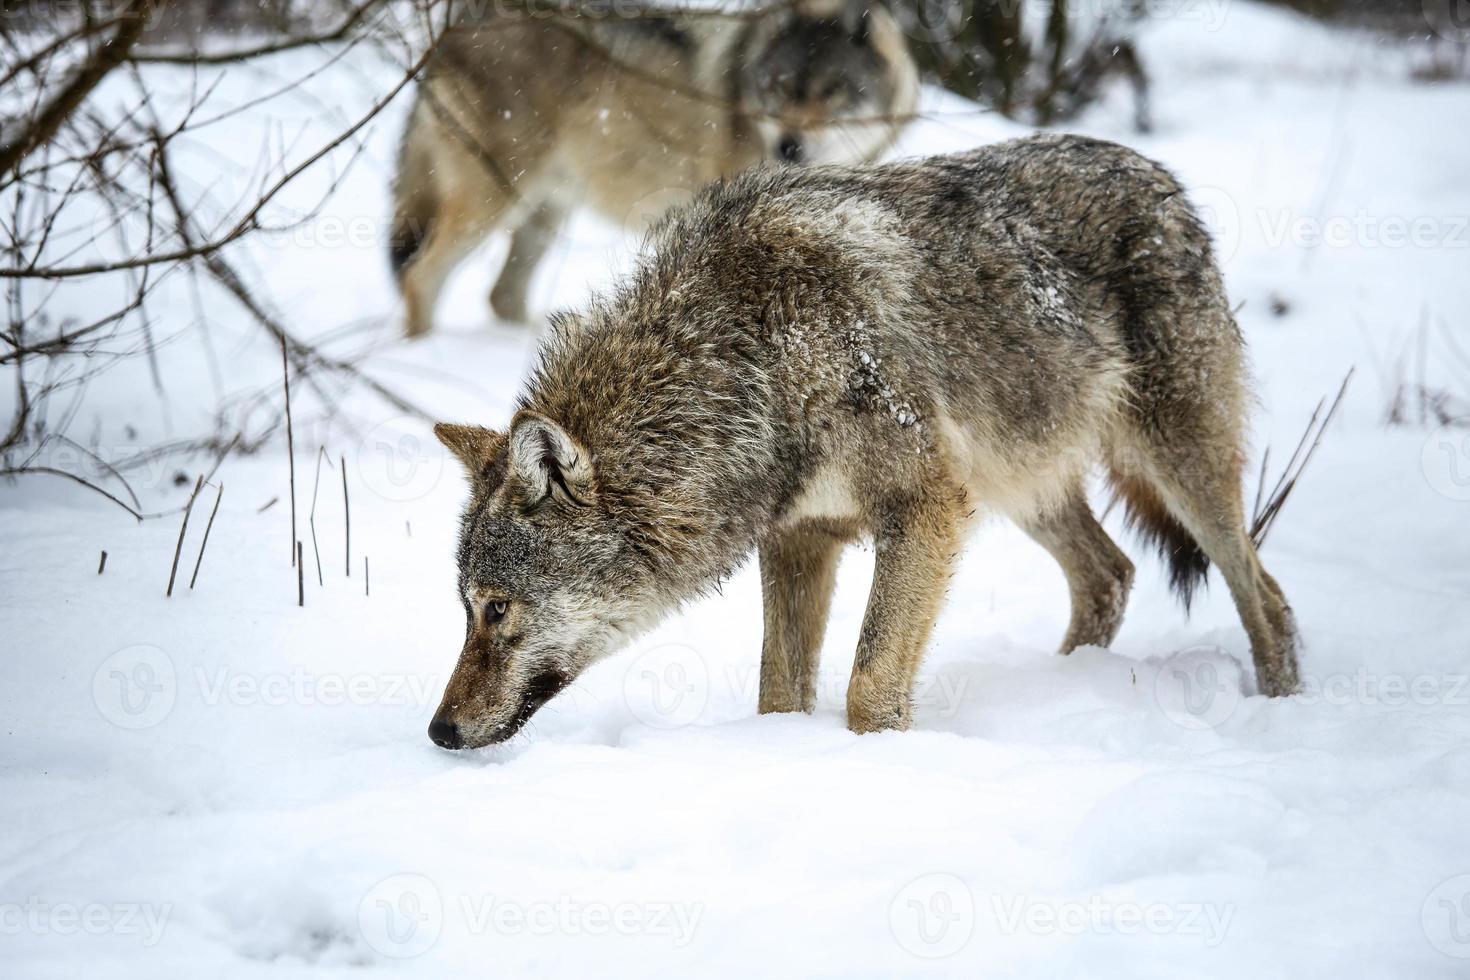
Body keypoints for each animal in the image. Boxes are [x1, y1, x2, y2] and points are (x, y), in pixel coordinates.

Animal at [391, 0, 917, 337]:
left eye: (833, 91)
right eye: (778, 87)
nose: (789, 146)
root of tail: (454, 27)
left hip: (545, 212)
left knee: (501, 297)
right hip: (495, 199)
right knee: (420, 276)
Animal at [423, 134, 1299, 752]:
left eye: (496, 609)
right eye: (464, 609)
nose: (439, 731)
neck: (752, 362)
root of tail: (1158, 175)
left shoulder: (921, 511)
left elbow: (869, 686)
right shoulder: (800, 539)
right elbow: (780, 693)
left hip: (1176, 469)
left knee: (1267, 599)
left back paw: (1282, 708)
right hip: (1015, 484)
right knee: (1110, 575)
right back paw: (1067, 689)